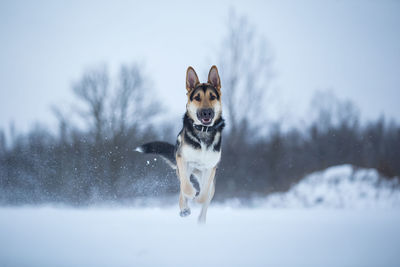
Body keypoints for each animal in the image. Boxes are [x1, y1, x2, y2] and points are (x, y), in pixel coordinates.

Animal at [136, 65, 225, 224]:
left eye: (212, 97)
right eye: (197, 98)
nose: (207, 113)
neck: (203, 132)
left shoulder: (210, 168)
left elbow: (204, 194)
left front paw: (198, 199)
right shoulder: (182, 159)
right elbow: (186, 187)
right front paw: (190, 198)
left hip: (206, 178)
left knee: (206, 198)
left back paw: (200, 221)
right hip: (185, 168)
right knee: (183, 187)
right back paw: (184, 208)